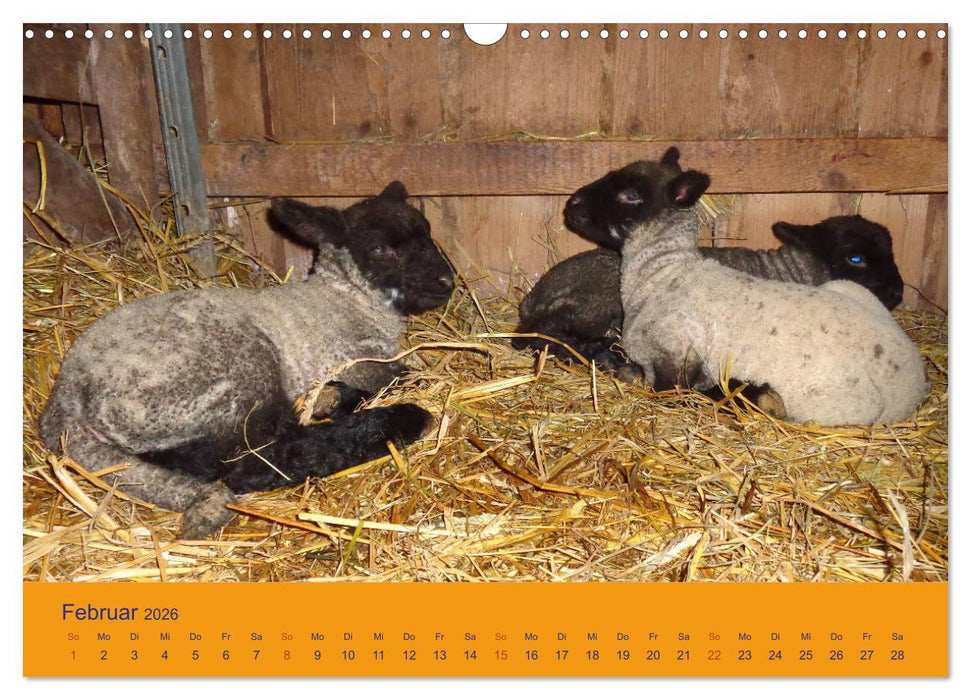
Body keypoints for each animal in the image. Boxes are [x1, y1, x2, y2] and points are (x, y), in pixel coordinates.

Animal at [40, 181, 456, 538]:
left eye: (428, 232)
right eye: (381, 248)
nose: (447, 281)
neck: (347, 300)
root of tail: (66, 404)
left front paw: (328, 399)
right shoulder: (356, 361)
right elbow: (403, 376)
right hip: (226, 379)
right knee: (258, 457)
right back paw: (393, 418)